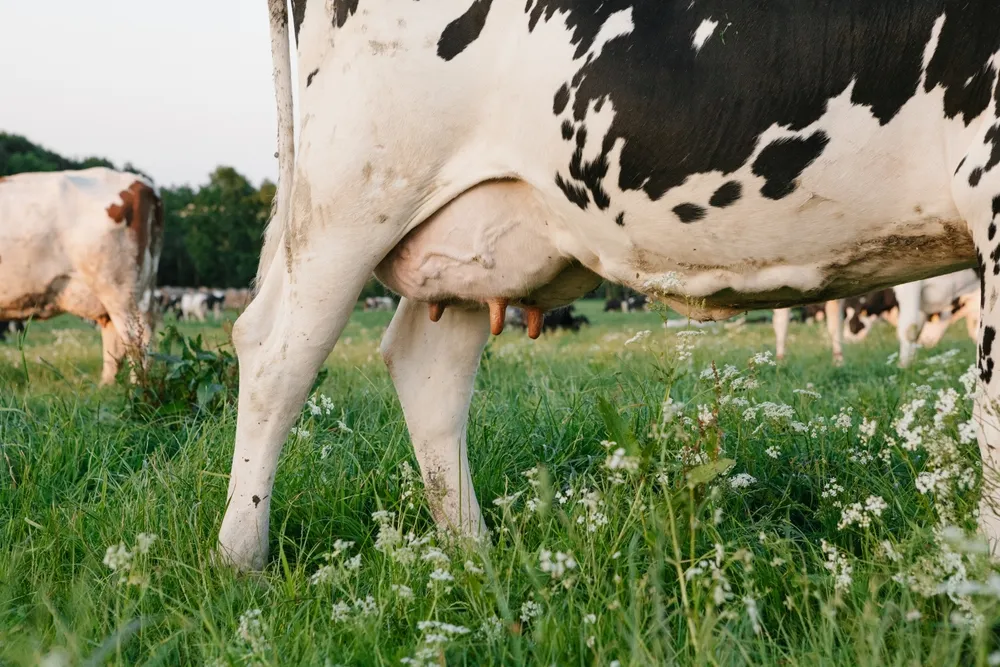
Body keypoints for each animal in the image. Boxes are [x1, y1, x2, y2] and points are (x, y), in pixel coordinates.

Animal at [0, 168, 163, 384]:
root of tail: (142, 183)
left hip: (119, 289)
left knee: (136, 340)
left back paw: (137, 388)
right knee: (116, 339)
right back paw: (106, 386)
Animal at [217, 0, 1000, 570]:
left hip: (466, 232)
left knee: (425, 369)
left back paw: (473, 556)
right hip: (353, 187)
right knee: (277, 355)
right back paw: (241, 560)